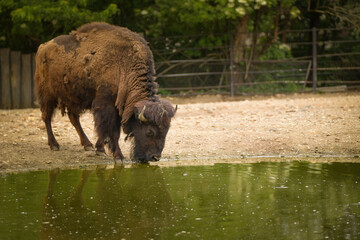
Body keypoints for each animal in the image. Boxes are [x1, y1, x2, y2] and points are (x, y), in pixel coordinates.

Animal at [35, 22, 177, 163]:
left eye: (166, 131)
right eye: (149, 131)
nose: (155, 157)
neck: (125, 66)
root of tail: (43, 48)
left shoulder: (117, 107)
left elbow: (103, 130)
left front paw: (100, 149)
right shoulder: (106, 105)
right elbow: (111, 132)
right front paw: (118, 156)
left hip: (73, 97)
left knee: (73, 118)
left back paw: (87, 145)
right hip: (48, 95)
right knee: (46, 117)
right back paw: (54, 145)